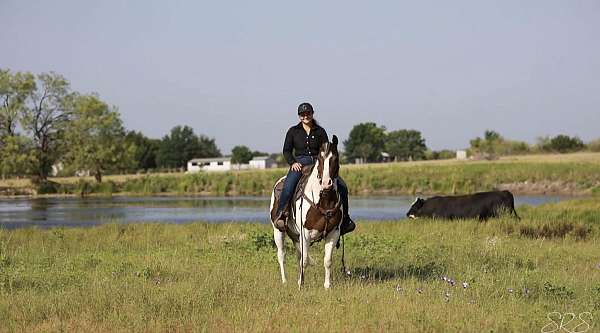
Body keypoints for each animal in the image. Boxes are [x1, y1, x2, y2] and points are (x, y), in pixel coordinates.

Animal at [268, 135, 342, 288]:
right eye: (320, 158)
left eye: (335, 158)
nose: (326, 183)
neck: (324, 200)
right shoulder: (305, 233)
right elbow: (305, 260)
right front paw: (300, 285)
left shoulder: (334, 232)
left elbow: (327, 260)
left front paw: (327, 286)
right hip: (278, 231)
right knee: (281, 255)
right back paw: (284, 281)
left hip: (295, 236)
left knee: (298, 255)